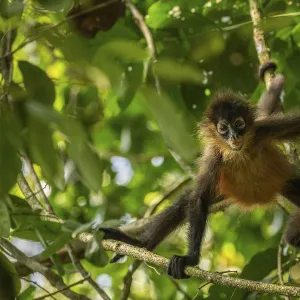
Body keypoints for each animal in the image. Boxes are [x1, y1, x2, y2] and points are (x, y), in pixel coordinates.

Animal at [101, 62, 300, 280]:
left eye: (239, 124)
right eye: (223, 128)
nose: (234, 136)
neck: (238, 152)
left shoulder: (264, 130)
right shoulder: (214, 157)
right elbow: (198, 200)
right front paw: (190, 259)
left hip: (285, 182)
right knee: (183, 205)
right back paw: (140, 244)